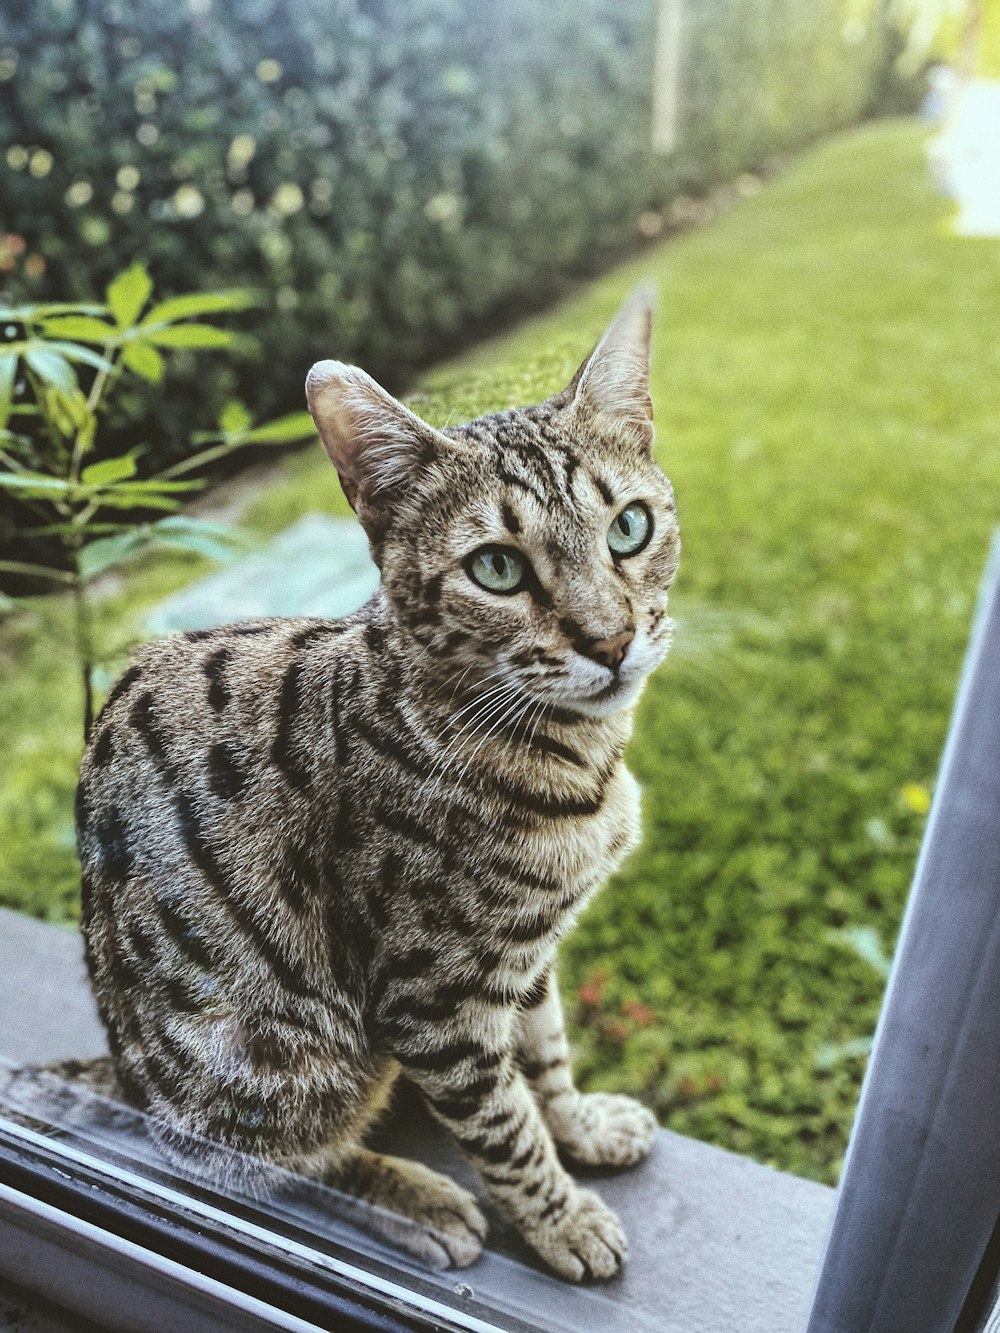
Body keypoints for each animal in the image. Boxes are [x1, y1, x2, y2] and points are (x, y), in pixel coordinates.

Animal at [76, 291, 682, 1279]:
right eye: (497, 567)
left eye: (629, 527)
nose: (610, 637)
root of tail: (126, 1077)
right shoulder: (431, 995)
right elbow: (504, 1126)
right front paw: (561, 1221)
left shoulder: (528, 959)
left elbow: (546, 1061)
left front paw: (584, 1126)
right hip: (286, 1057)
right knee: (256, 1163)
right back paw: (416, 1200)